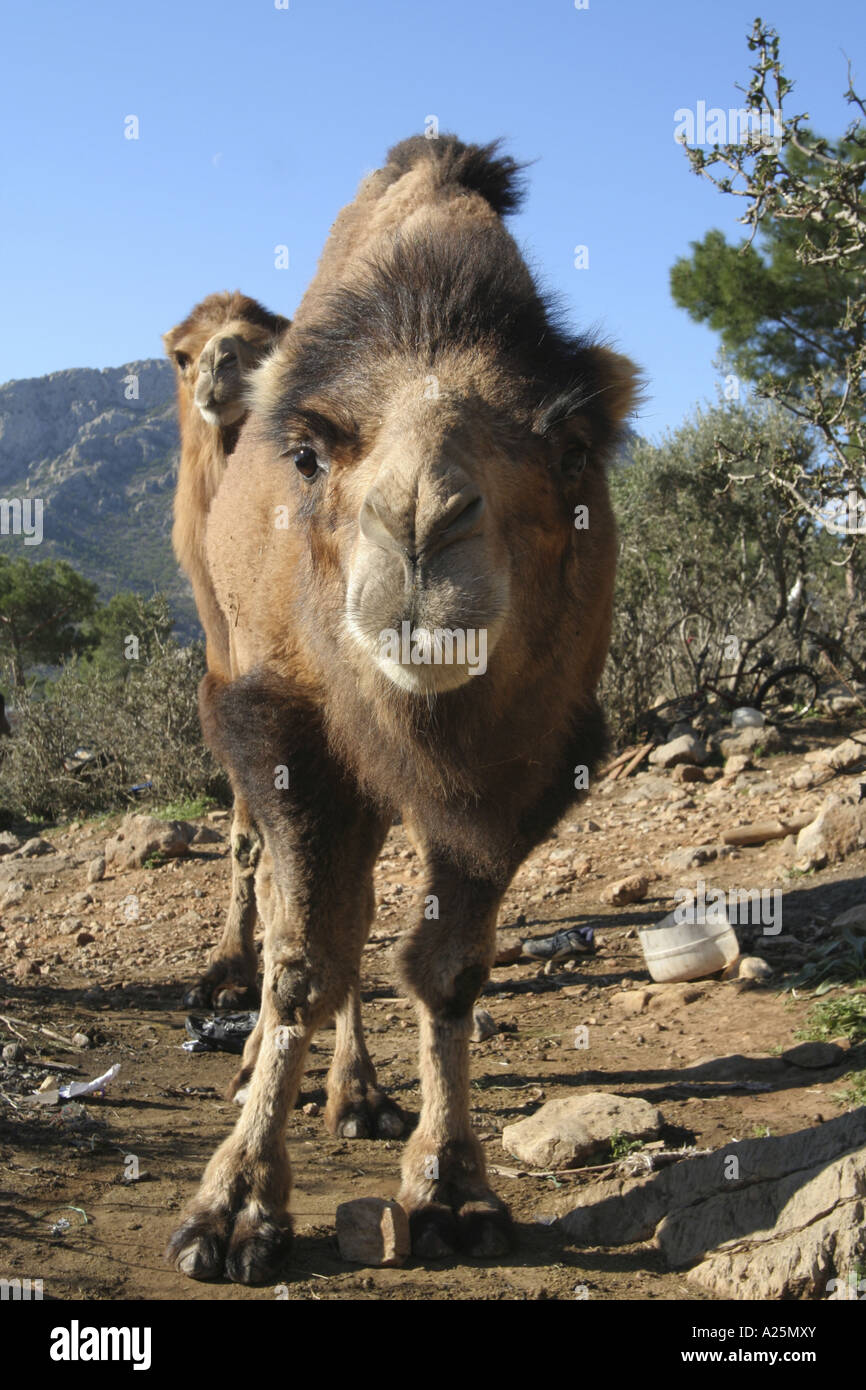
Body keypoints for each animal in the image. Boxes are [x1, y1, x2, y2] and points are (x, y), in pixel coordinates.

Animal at [165, 290, 403, 1139]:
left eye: (264, 338)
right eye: (181, 354)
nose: (220, 364)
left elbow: (350, 894)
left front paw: (358, 1089)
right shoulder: (246, 701)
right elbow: (263, 857)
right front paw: (232, 989)